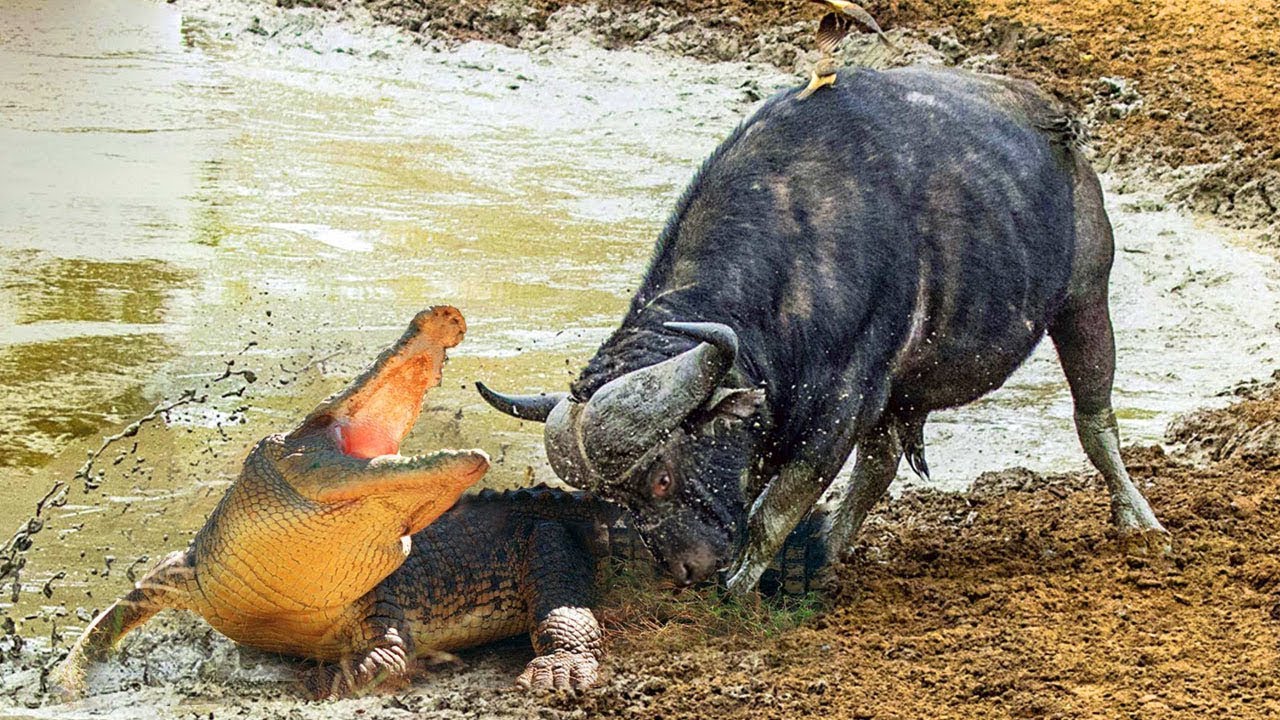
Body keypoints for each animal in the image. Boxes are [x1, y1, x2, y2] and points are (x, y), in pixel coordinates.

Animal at [478, 66, 1169, 594]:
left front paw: (738, 591)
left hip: (1086, 297)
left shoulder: (841, 406)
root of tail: (1059, 127)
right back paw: (831, 552)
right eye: (618, 501)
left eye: (662, 477)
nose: (686, 570)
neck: (794, 258)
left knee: (1095, 419)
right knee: (883, 462)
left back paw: (1141, 523)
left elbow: (773, 511)